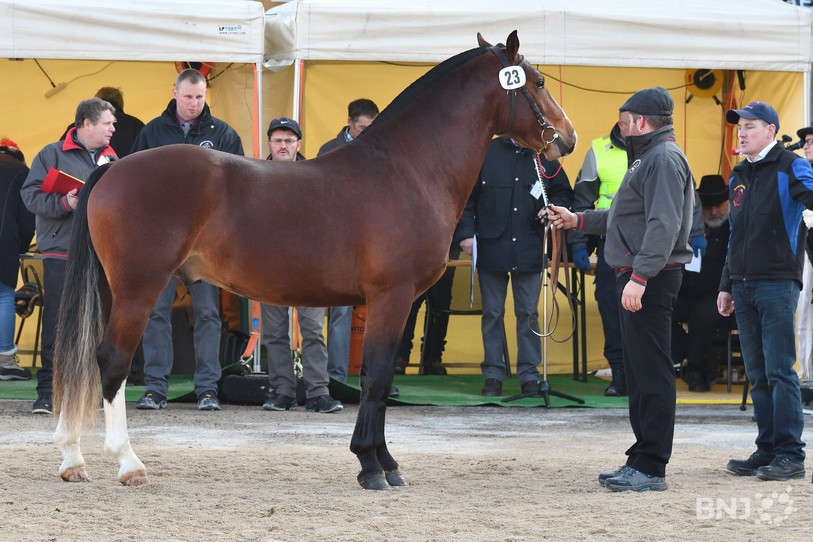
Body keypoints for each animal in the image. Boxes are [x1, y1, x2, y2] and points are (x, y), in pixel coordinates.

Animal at [52, 31, 576, 490]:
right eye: (538, 82)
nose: (567, 139)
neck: (407, 169)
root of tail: (113, 167)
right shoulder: (391, 297)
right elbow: (376, 378)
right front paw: (372, 466)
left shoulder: (393, 302)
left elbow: (380, 381)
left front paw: (386, 463)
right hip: (139, 289)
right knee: (112, 361)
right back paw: (128, 463)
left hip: (111, 290)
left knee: (83, 357)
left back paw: (73, 459)